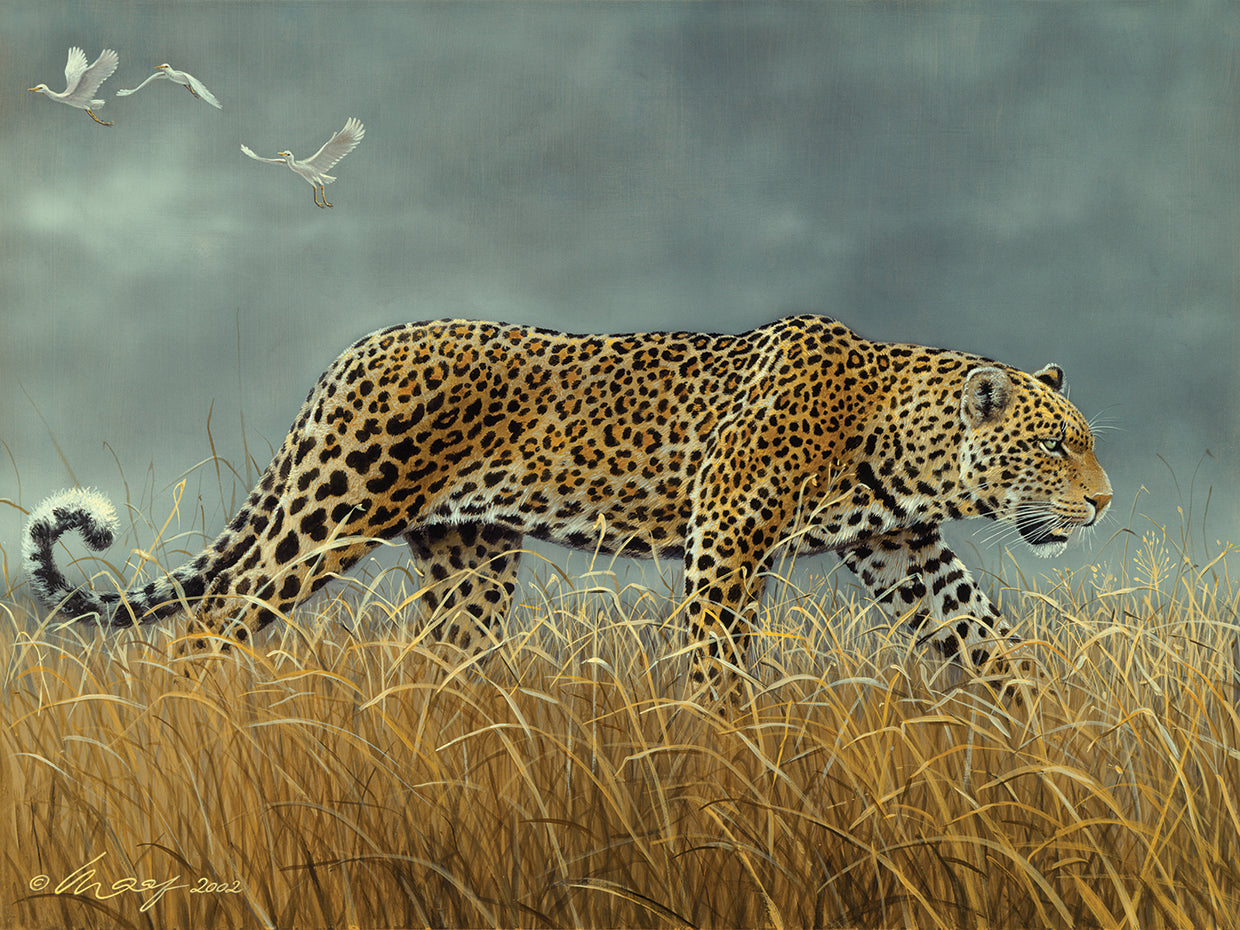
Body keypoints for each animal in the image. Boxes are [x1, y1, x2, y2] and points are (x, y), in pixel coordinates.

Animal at [23, 314, 1112, 697]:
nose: (1102, 504)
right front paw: (728, 765)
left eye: (1084, 439)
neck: (901, 443)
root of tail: (358, 348)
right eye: (1056, 444)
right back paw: (193, 722)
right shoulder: (726, 545)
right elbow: (718, 665)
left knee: (442, 659)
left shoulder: (907, 553)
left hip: (470, 555)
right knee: (211, 622)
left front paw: (1050, 744)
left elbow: (991, 641)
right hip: (333, 512)